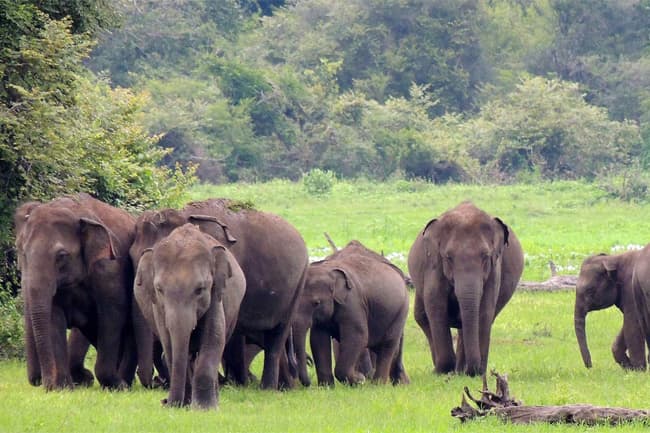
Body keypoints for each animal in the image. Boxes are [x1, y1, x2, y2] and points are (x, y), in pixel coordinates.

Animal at [14, 193, 136, 390]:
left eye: (62, 256)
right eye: (23, 253)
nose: (46, 385)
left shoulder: (110, 268)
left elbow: (113, 314)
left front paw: (118, 386)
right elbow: (53, 316)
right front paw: (63, 388)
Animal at [129, 198, 308, 390]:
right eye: (132, 257)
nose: (156, 382)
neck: (185, 216)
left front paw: (235, 385)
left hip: (298, 284)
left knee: (277, 335)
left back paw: (268, 388)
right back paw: (283, 386)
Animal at [134, 224, 245, 409]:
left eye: (200, 289)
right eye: (159, 289)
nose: (166, 402)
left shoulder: (215, 296)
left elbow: (214, 340)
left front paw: (205, 408)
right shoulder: (158, 308)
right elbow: (169, 345)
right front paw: (182, 406)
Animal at [293, 240, 410, 386]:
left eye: (316, 303)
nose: (308, 383)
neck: (328, 271)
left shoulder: (353, 302)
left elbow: (358, 335)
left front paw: (360, 380)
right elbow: (317, 338)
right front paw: (326, 387)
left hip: (401, 311)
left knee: (388, 345)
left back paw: (379, 384)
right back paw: (400, 383)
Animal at [408, 201, 524, 376]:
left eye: (485, 256)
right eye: (448, 257)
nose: (474, 371)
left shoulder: (494, 268)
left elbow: (485, 309)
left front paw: (477, 372)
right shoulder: (434, 266)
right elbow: (436, 305)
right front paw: (444, 371)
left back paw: (460, 370)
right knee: (421, 316)